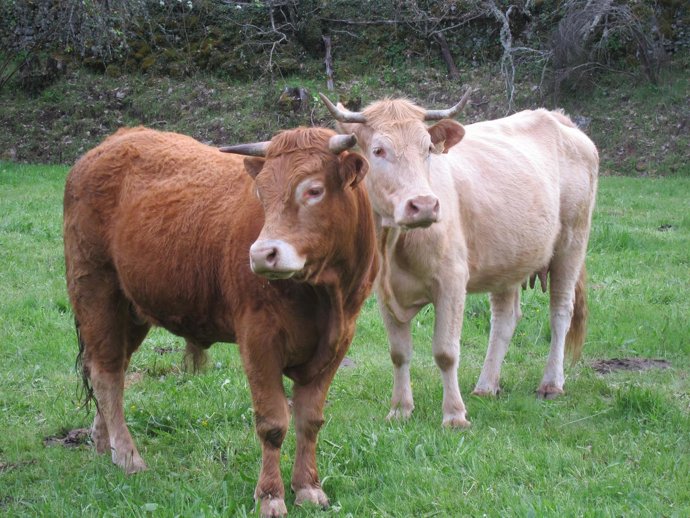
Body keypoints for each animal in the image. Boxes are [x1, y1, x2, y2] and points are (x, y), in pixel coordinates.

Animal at [63, 126, 378, 517]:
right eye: (261, 193)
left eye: (314, 189)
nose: (261, 254)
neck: (324, 296)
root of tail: (112, 142)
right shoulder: (258, 337)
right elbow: (273, 423)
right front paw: (270, 495)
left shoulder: (338, 342)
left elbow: (310, 420)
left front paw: (308, 487)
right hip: (96, 289)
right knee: (106, 374)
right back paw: (127, 455)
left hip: (131, 308)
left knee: (109, 368)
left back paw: (103, 442)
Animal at [321, 91, 598, 428]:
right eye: (378, 150)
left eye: (428, 148)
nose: (424, 205)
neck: (395, 244)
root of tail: (556, 117)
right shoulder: (384, 291)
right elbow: (399, 353)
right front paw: (400, 409)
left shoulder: (451, 280)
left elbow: (446, 352)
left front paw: (454, 415)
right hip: (508, 258)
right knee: (505, 319)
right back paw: (486, 385)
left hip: (572, 242)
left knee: (560, 312)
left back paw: (551, 383)